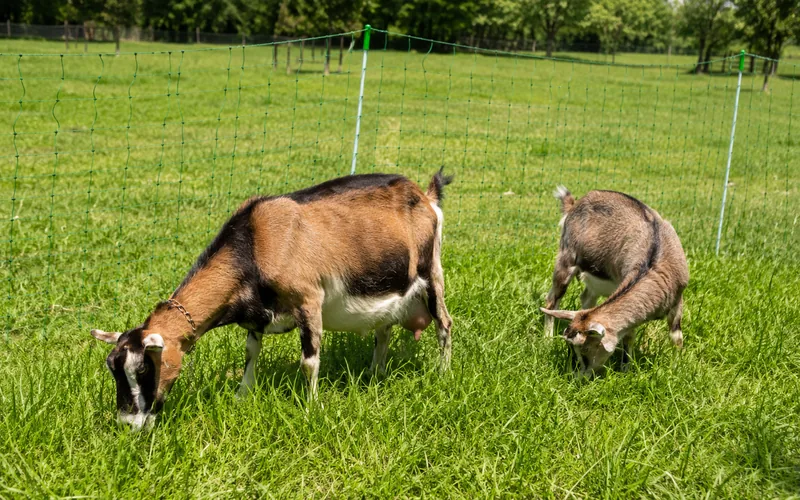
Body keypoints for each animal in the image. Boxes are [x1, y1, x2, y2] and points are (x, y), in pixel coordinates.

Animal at [91, 169, 453, 429]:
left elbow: (309, 361)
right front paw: (242, 394)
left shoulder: (309, 298)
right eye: (113, 369)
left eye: (143, 369)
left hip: (431, 271)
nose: (127, 423)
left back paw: (442, 373)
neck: (256, 242)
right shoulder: (257, 314)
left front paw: (310, 407)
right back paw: (375, 374)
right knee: (384, 330)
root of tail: (425, 196)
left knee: (444, 324)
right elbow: (251, 352)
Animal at [540, 186, 689, 376]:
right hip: (566, 259)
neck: (652, 259)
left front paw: (677, 367)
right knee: (552, 300)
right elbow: (628, 336)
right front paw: (626, 370)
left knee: (585, 298)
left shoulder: (678, 299)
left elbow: (676, 336)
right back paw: (547, 340)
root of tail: (575, 204)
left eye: (585, 349)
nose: (577, 375)